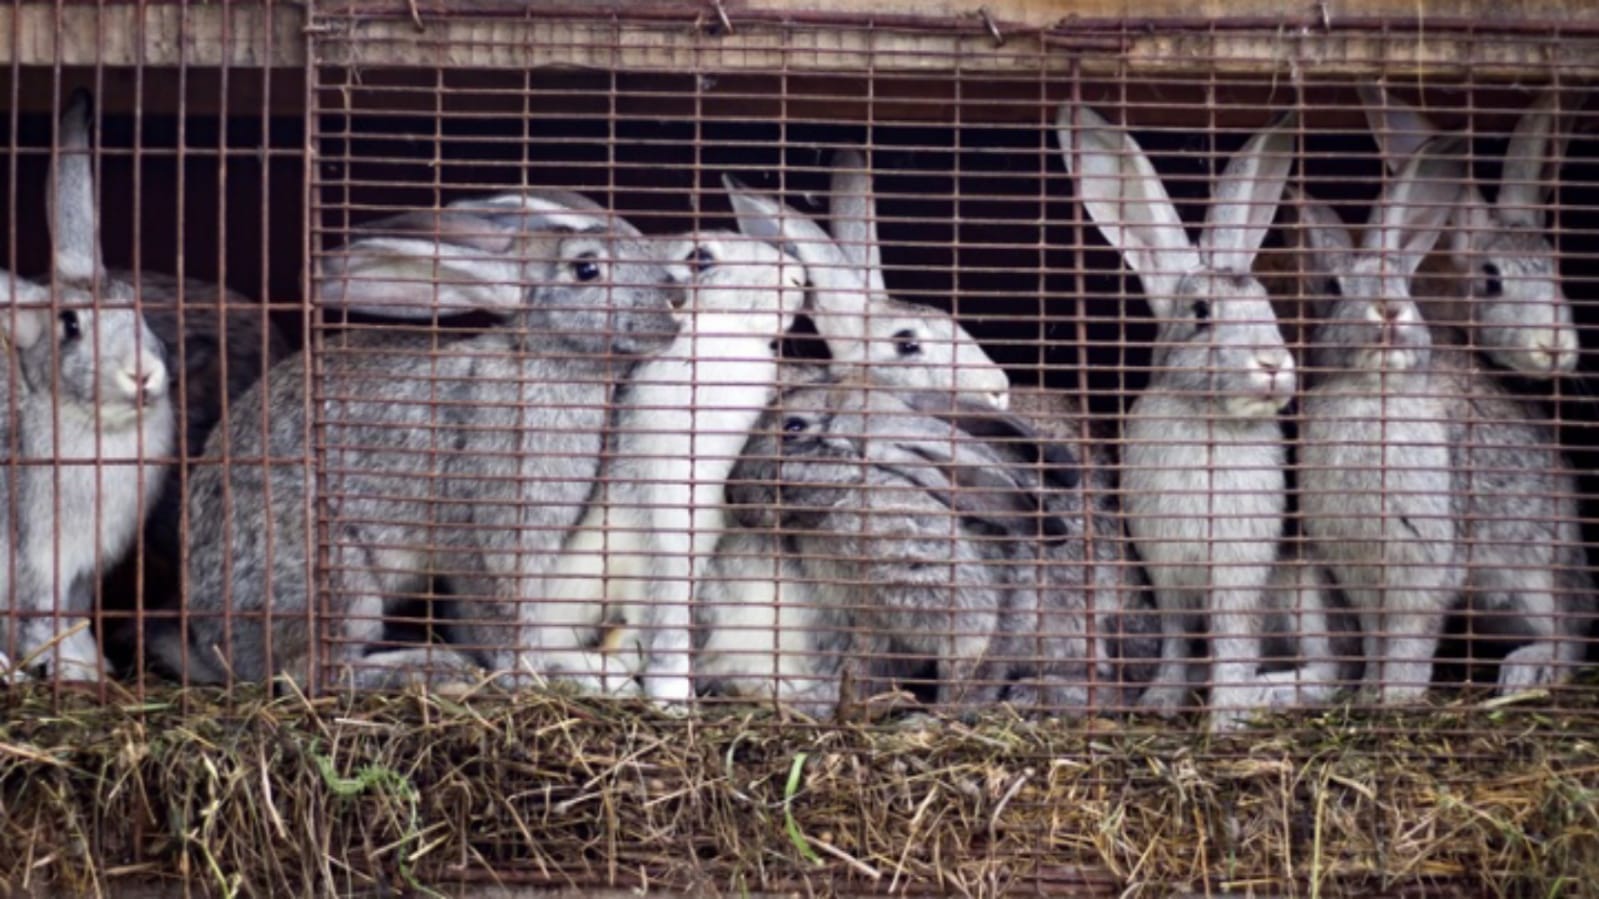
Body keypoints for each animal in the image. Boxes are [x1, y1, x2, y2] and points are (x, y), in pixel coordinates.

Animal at [0, 271, 174, 681]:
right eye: (70, 324)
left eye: (137, 307)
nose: (142, 372)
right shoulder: (36, 560)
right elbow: (40, 620)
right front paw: (71, 668)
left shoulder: (82, 571)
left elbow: (73, 617)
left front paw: (92, 663)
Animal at [154, 192, 684, 689]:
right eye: (586, 268)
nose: (675, 304)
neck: (539, 359)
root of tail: (215, 643)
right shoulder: (491, 534)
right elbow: (504, 617)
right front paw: (530, 675)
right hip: (336, 575)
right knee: (311, 672)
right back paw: (434, 670)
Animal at [1058, 102, 1302, 731]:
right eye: (1201, 314)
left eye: (1267, 306)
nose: (1272, 363)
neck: (1210, 423)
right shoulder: (1165, 569)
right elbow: (1175, 636)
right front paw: (1162, 701)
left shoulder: (1238, 574)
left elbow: (1232, 642)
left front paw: (1224, 720)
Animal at [1296, 133, 1590, 703]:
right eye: (1335, 289)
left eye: (1401, 282)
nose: (1389, 310)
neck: (1371, 394)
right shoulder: (1359, 571)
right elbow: (1377, 640)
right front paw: (1370, 695)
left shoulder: (1423, 562)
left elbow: (1409, 641)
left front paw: (1395, 699)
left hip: (1535, 575)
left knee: (1570, 633)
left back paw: (1525, 671)